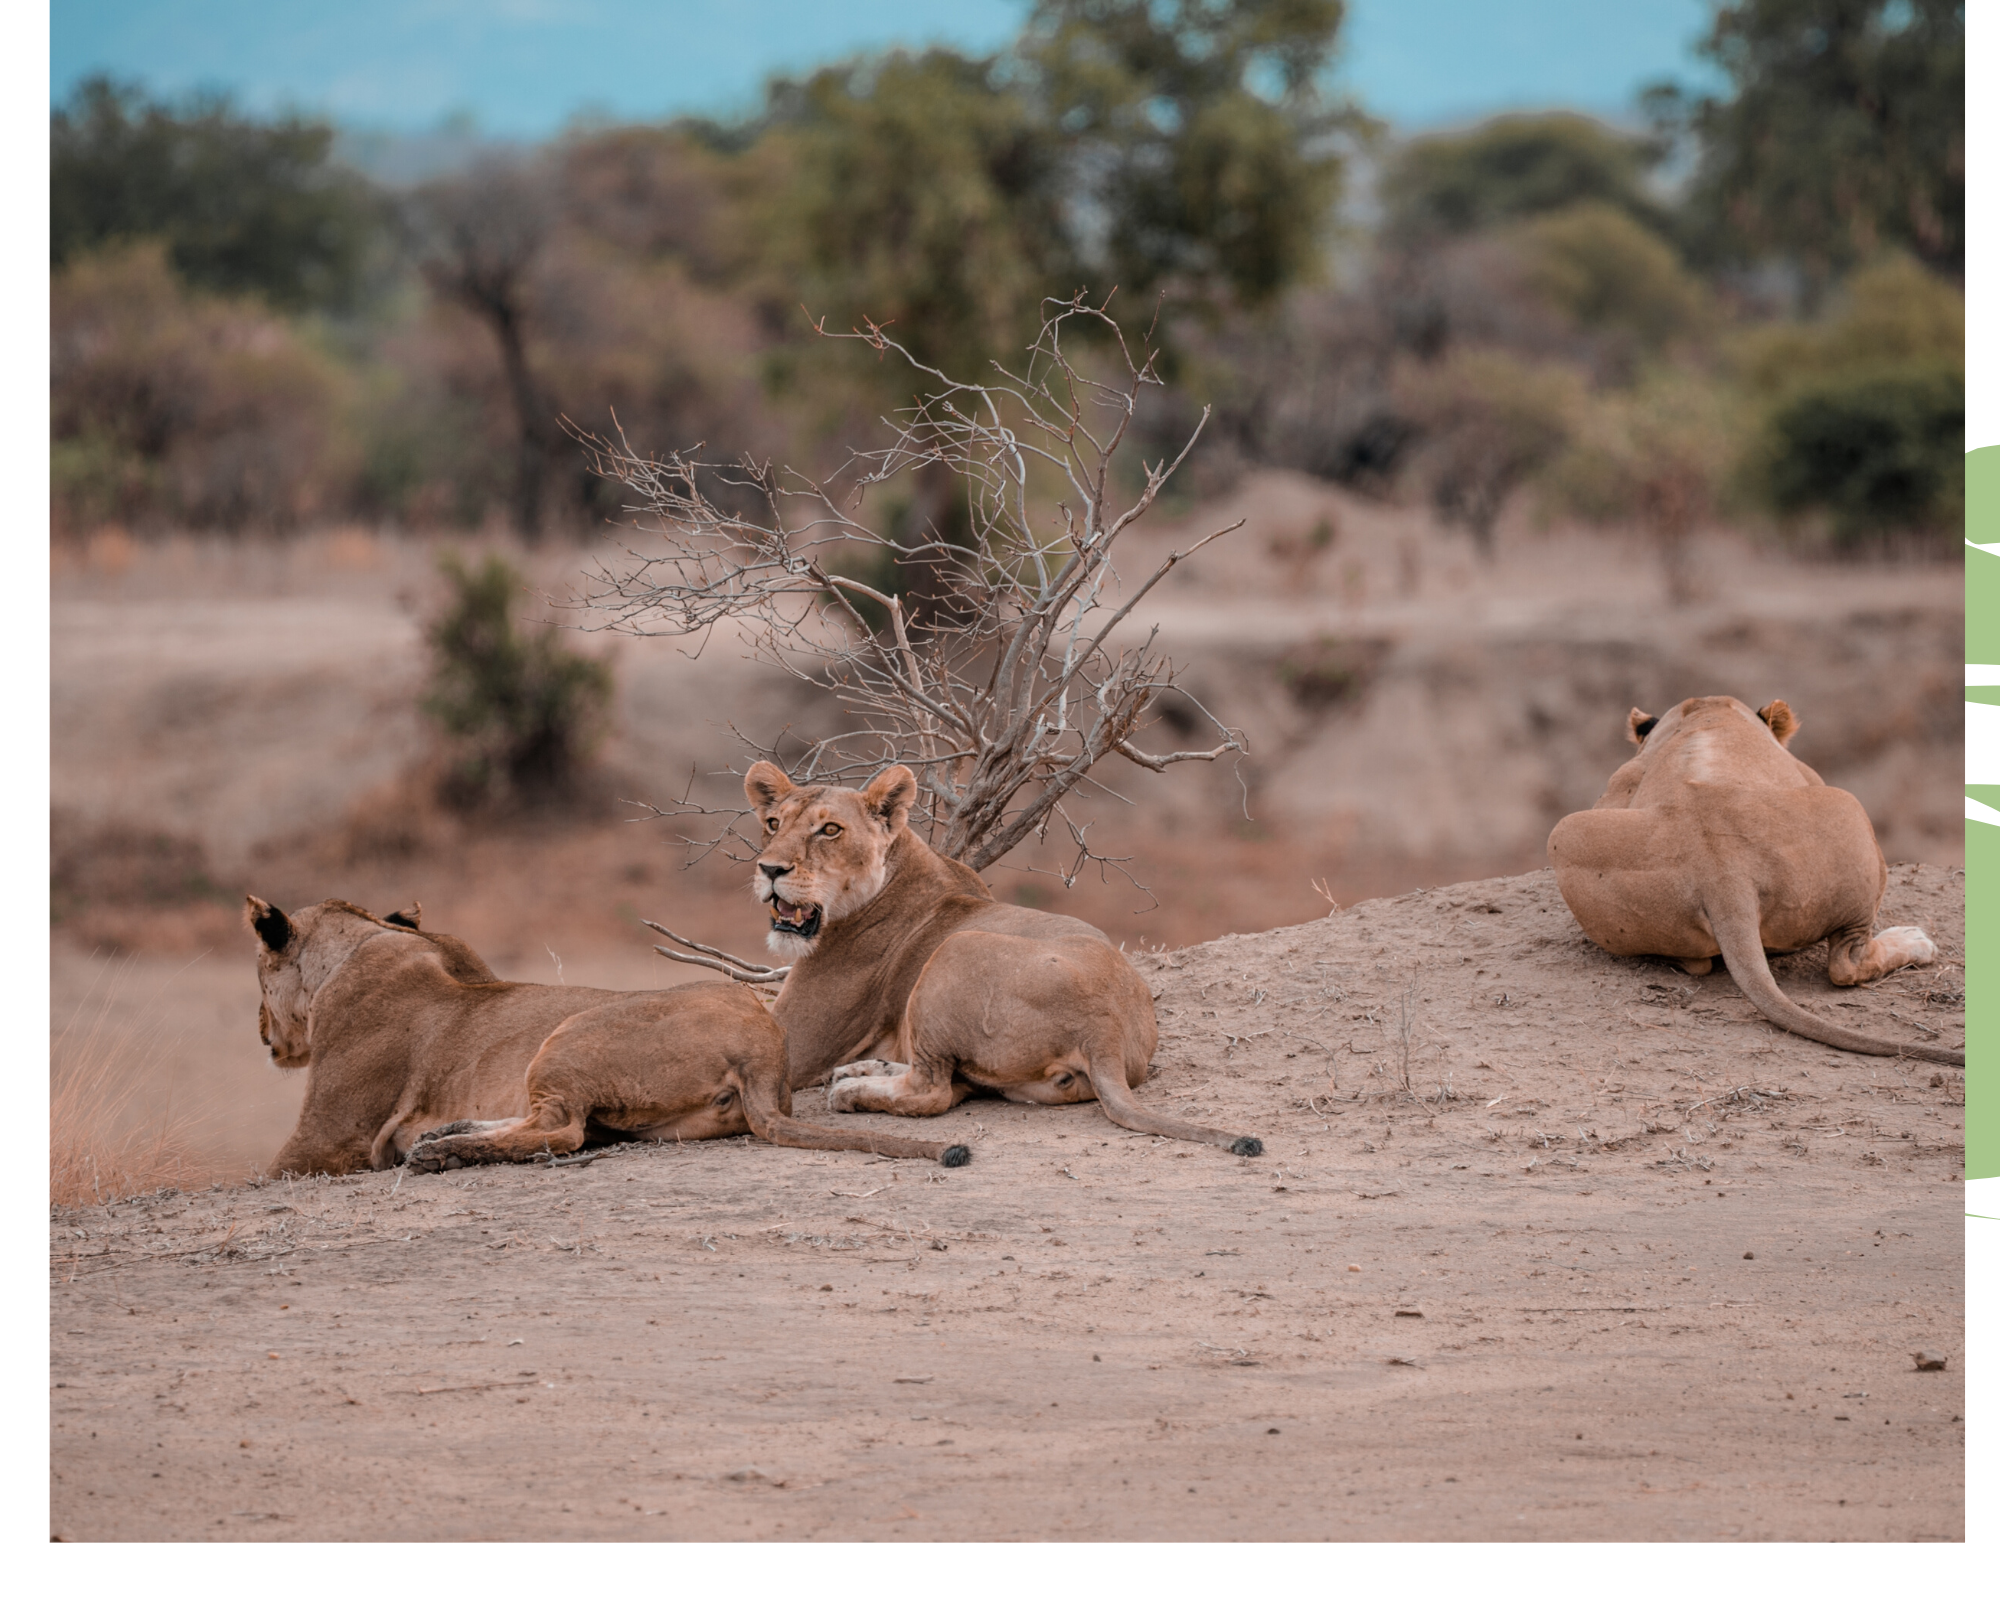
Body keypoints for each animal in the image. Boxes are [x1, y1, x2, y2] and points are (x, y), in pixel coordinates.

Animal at [248, 888, 968, 1176]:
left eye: (257, 975)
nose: (261, 1032)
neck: (371, 939)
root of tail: (764, 1054)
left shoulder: (327, 1140)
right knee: (553, 1126)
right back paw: (444, 1136)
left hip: (569, 1034)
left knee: (562, 1131)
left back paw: (441, 1152)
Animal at [744, 760, 1256, 1152]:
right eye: (773, 824)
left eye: (829, 830)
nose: (769, 869)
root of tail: (1104, 1029)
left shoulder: (795, 1043)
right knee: (949, 1082)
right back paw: (866, 1070)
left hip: (956, 948)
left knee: (933, 1092)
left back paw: (852, 1090)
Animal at [1544, 696, 1952, 1064]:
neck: (1705, 710)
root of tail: (1722, 873)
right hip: (1848, 804)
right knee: (1846, 964)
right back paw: (1915, 942)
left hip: (1566, 832)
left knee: (1697, 964)